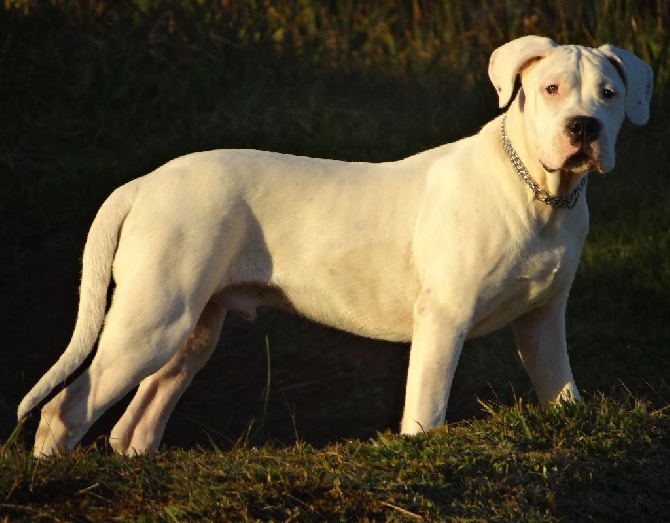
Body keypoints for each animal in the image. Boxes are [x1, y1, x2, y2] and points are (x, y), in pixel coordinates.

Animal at [18, 35, 652, 458]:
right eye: (550, 89)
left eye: (609, 94)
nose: (584, 128)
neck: (540, 196)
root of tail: (145, 183)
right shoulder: (444, 318)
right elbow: (427, 406)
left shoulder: (542, 322)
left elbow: (561, 389)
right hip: (150, 321)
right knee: (64, 409)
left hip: (190, 329)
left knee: (138, 418)